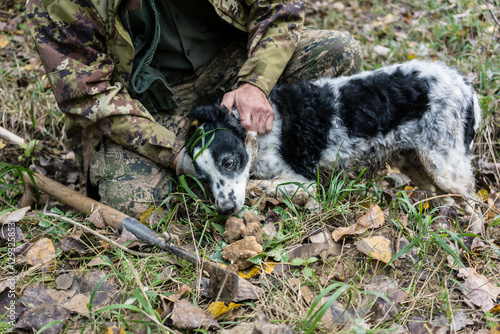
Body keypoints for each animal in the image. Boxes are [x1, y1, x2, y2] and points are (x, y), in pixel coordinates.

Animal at [177, 60, 484, 235]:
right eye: (203, 178)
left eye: (228, 162)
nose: (225, 209)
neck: (257, 137)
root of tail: (466, 86)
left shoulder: (305, 180)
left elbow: (265, 184)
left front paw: (256, 189)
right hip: (417, 161)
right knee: (444, 198)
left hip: (444, 165)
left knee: (474, 203)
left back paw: (475, 236)